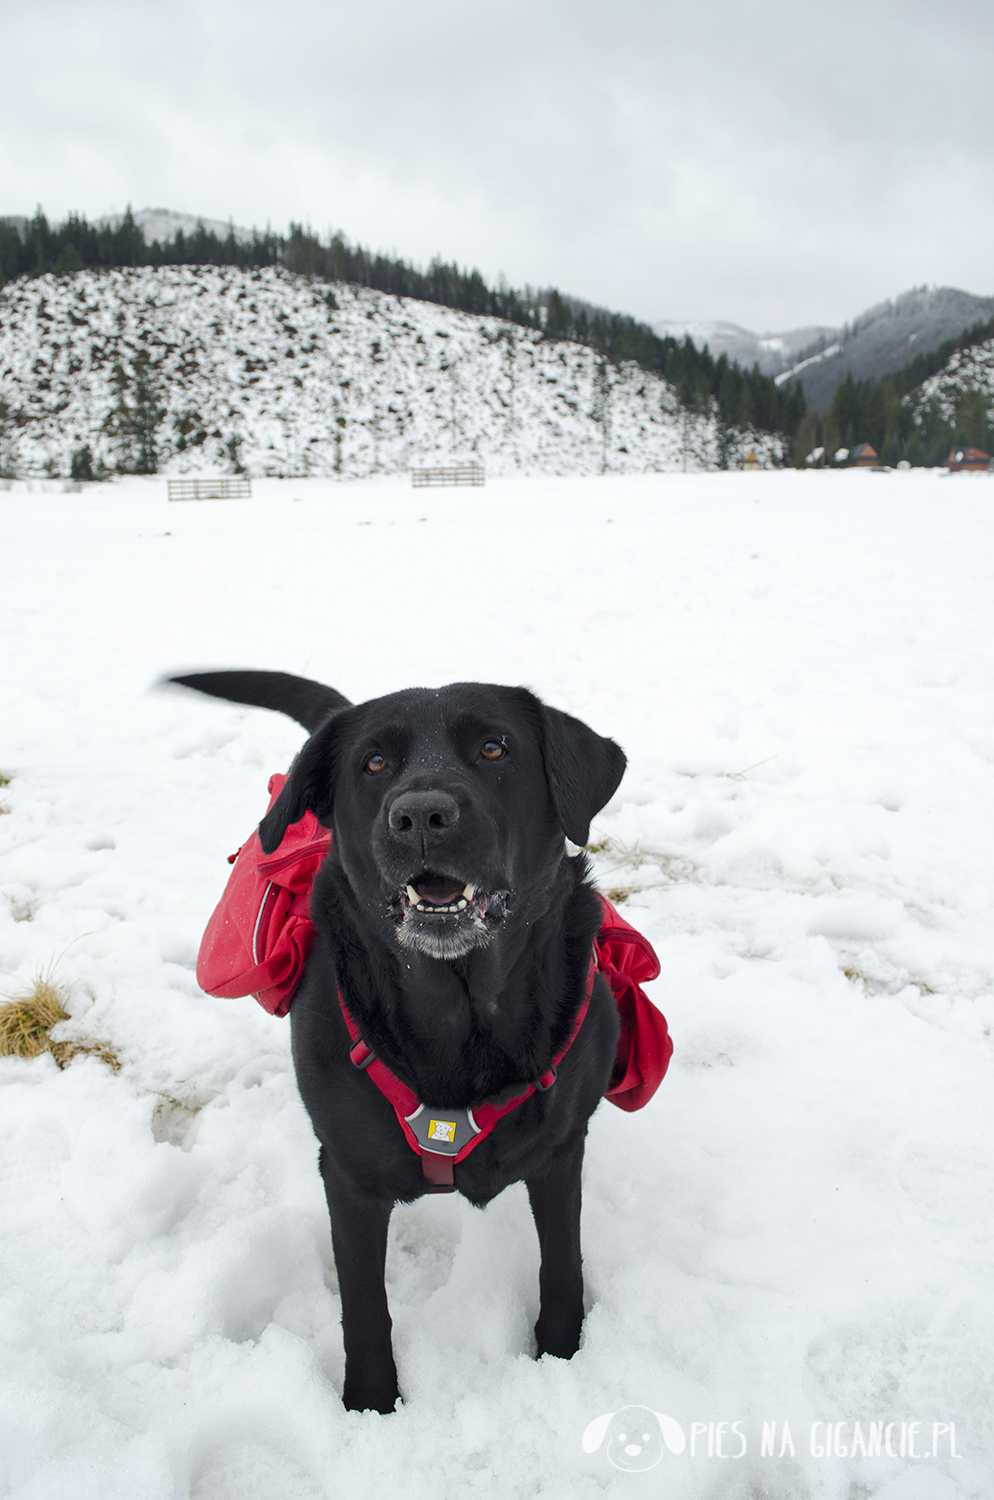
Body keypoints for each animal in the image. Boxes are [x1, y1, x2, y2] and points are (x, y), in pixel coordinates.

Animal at [170, 675, 623, 1410]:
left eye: (494, 747)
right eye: (375, 763)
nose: (421, 814)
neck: (460, 1017)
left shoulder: (561, 1149)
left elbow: (562, 1264)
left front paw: (561, 1357)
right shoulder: (349, 1177)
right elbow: (363, 1304)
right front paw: (371, 1404)